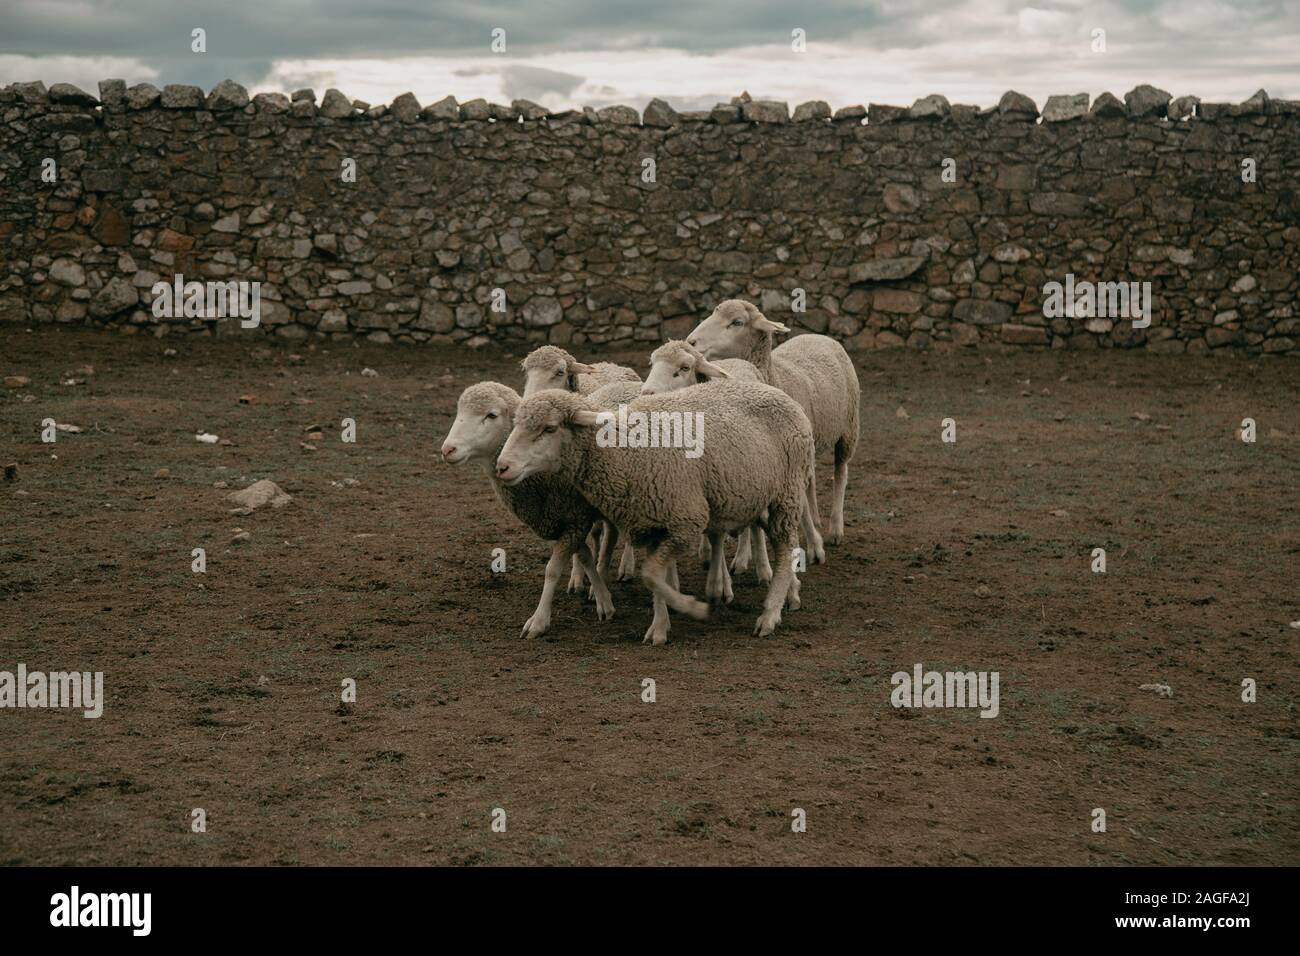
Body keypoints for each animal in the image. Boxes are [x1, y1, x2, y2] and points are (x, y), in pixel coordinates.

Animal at [441, 377, 613, 639]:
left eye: (491, 415)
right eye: (459, 411)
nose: (447, 449)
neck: (542, 479)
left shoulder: (574, 518)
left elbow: (552, 569)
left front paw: (539, 621)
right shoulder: (561, 520)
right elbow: (584, 555)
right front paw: (601, 593)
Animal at [491, 377, 806, 647]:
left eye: (550, 428)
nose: (502, 467)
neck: (623, 453)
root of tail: (781, 394)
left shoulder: (686, 521)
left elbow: (651, 575)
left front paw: (691, 607)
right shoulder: (654, 522)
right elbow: (655, 578)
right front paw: (660, 626)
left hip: (787, 492)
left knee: (785, 546)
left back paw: (769, 615)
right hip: (757, 494)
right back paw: (789, 594)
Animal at [686, 300, 857, 561]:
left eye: (737, 322)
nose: (691, 341)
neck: (774, 377)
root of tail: (819, 335)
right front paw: (744, 553)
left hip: (848, 429)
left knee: (841, 472)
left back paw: (835, 528)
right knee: (812, 481)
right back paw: (817, 518)